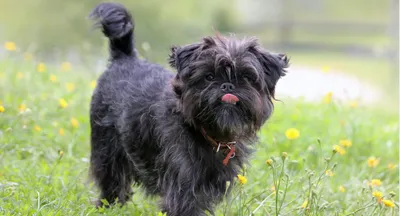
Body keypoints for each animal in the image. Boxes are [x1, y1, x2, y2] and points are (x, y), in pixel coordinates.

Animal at [87, 2, 290, 215]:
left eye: (246, 77)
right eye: (209, 77)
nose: (227, 85)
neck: (212, 136)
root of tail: (125, 57)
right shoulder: (182, 184)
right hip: (106, 149)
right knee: (112, 180)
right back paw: (107, 206)